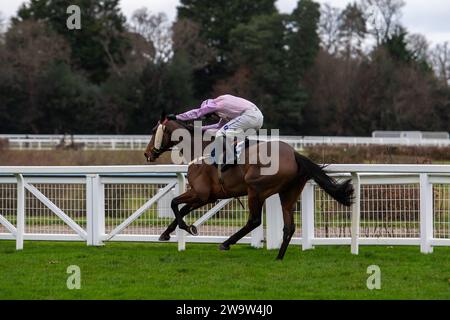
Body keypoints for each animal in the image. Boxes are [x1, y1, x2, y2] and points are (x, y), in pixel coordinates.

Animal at [145, 112, 356, 260]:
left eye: (154, 130)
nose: (147, 154)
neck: (199, 149)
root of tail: (295, 154)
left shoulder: (201, 193)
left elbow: (174, 203)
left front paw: (187, 227)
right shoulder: (209, 196)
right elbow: (182, 208)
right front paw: (166, 233)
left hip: (256, 190)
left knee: (254, 220)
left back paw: (226, 243)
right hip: (288, 193)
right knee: (289, 227)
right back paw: (278, 257)